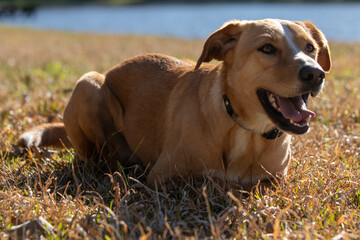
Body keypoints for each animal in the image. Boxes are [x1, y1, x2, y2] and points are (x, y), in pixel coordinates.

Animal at [17, 19, 332, 189]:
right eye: (267, 48)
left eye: (311, 48)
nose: (315, 73)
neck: (244, 130)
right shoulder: (163, 177)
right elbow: (209, 180)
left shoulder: (276, 180)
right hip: (88, 84)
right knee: (93, 158)